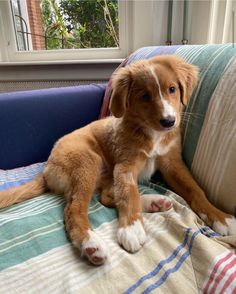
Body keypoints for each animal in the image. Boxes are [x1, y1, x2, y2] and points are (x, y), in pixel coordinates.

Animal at [0, 55, 236, 266]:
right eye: (144, 96)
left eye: (172, 89)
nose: (169, 122)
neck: (151, 133)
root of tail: (47, 168)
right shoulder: (125, 167)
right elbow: (129, 194)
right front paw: (131, 229)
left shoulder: (172, 164)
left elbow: (195, 190)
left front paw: (220, 217)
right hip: (88, 162)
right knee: (75, 209)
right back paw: (91, 243)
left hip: (103, 174)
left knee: (106, 196)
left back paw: (154, 202)